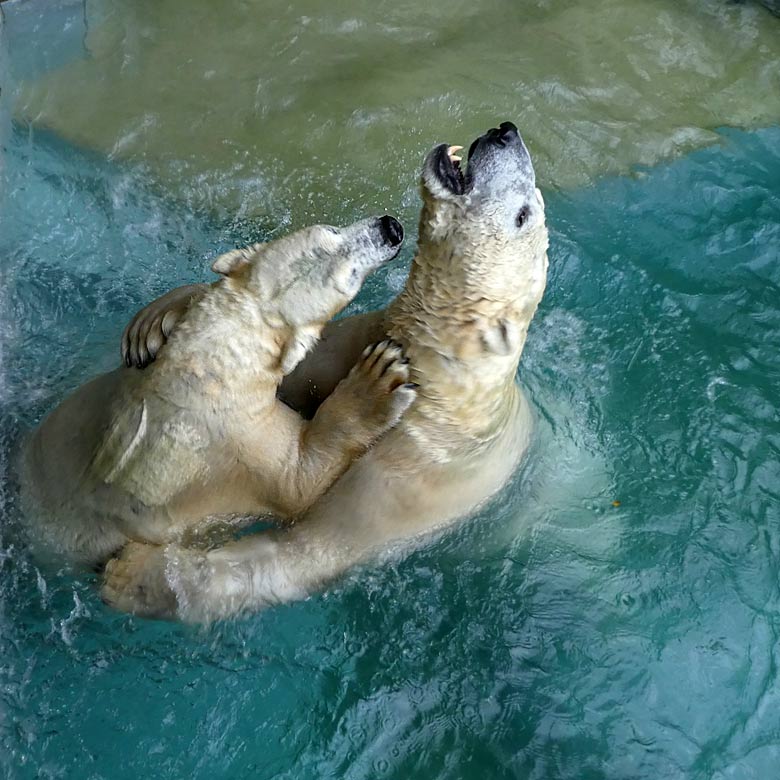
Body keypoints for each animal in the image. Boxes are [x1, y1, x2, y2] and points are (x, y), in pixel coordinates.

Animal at [102, 122, 548, 620]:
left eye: (524, 214)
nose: (505, 132)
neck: (442, 378)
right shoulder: (359, 337)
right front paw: (155, 323)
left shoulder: (411, 473)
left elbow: (307, 550)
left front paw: (133, 576)